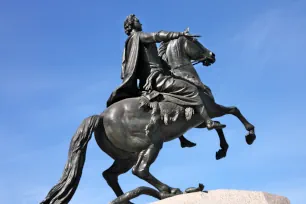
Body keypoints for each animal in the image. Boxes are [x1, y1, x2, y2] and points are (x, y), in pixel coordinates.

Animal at [40, 35, 256, 204]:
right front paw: (249, 135)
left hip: (126, 156)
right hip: (152, 143)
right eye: (195, 41)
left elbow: (220, 126)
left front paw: (222, 149)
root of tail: (100, 117)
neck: (185, 76)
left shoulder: (198, 122)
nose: (212, 55)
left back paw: (133, 199)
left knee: (110, 175)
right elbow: (233, 111)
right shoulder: (210, 109)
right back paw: (170, 190)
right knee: (140, 170)